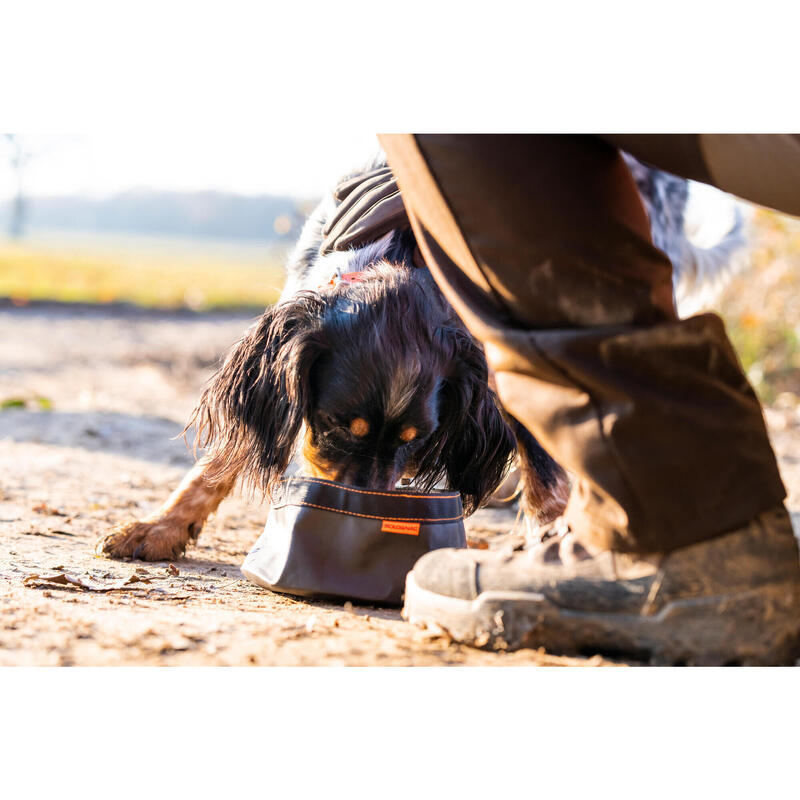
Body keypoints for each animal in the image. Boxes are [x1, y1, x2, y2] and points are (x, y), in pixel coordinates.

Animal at [98, 152, 744, 564]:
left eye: (415, 437)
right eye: (336, 424)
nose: (354, 512)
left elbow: (545, 471)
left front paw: (549, 541)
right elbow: (217, 461)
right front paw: (160, 527)